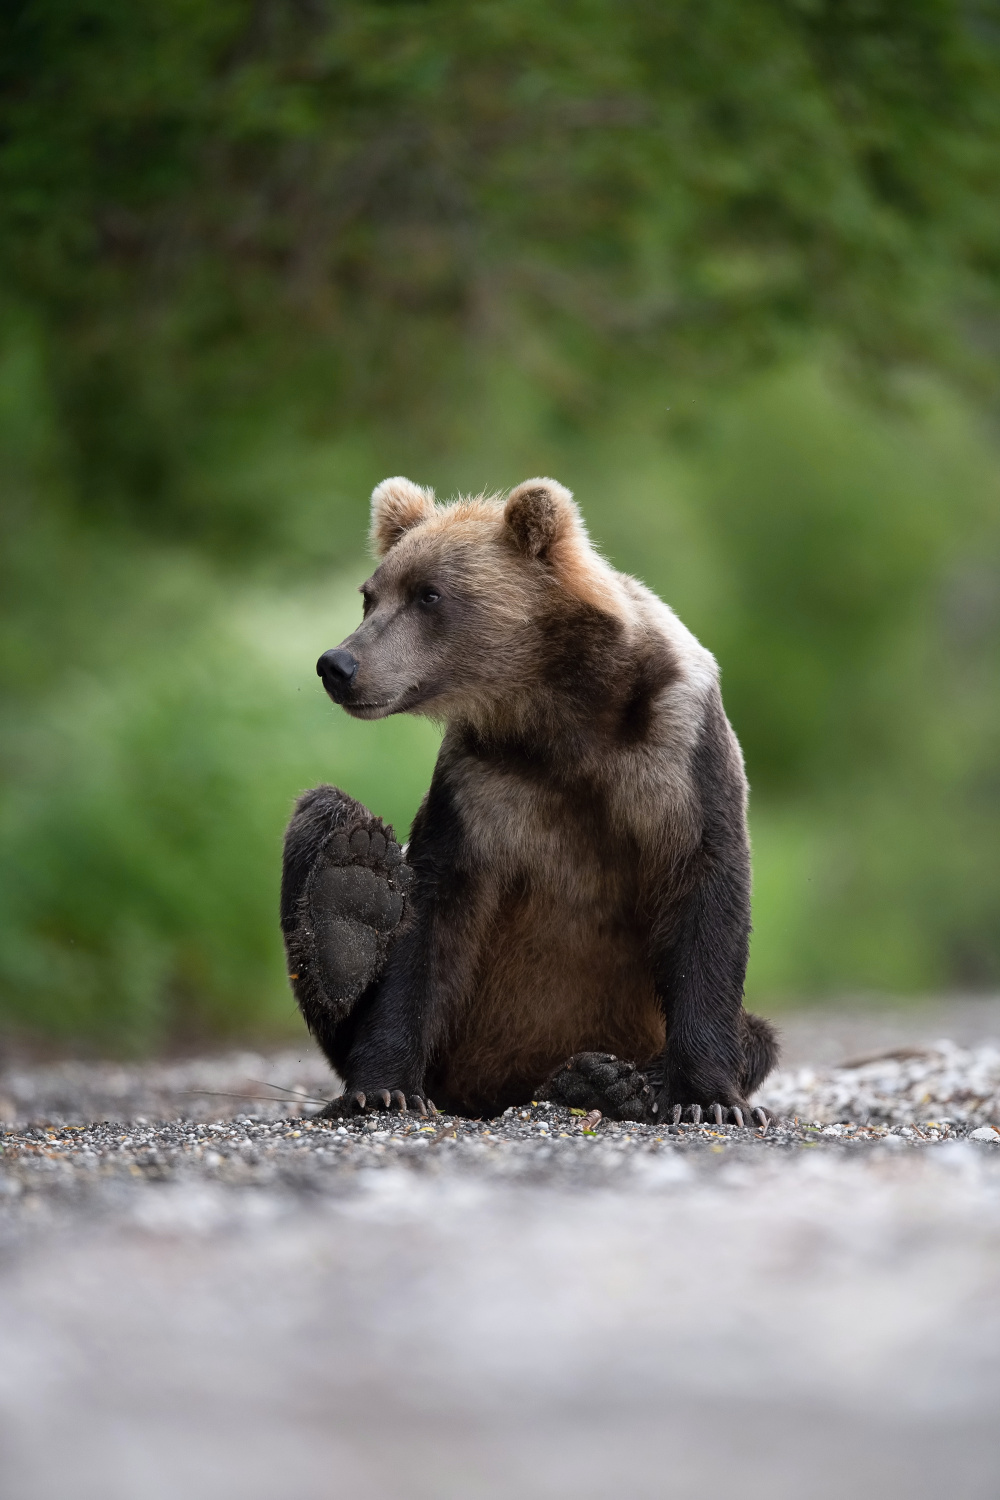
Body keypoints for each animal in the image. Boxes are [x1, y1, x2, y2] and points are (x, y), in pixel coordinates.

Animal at [277, 474, 779, 1122]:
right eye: (370, 595)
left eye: (429, 595)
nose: (337, 664)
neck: (558, 713)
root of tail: (501, 1090)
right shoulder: (479, 787)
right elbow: (430, 920)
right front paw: (385, 1088)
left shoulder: (679, 752)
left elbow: (707, 897)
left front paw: (708, 1100)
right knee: (322, 820)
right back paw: (349, 894)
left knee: (758, 1036)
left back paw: (611, 1080)